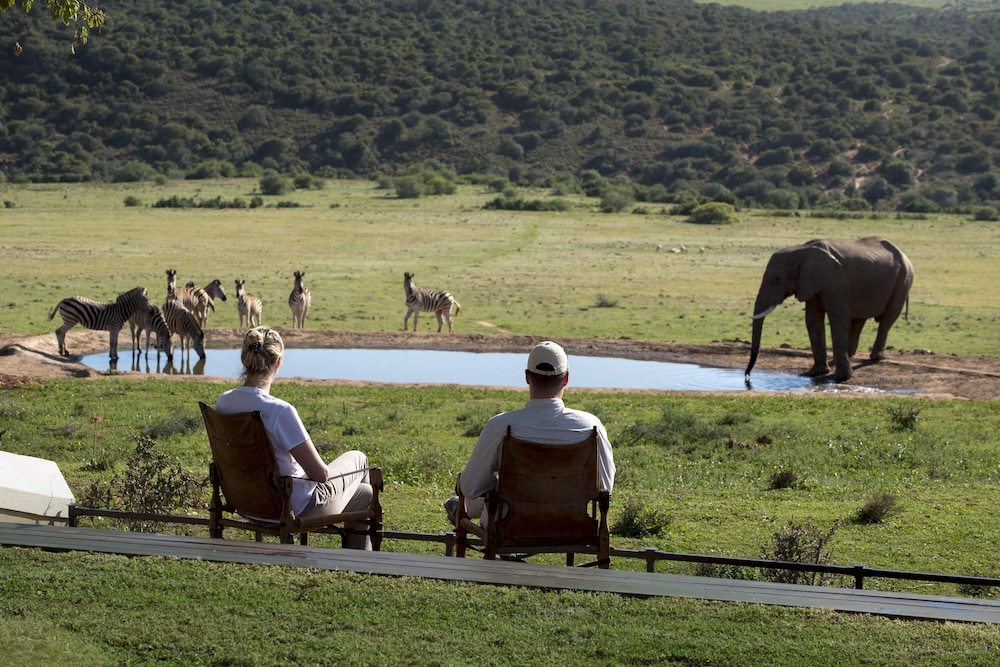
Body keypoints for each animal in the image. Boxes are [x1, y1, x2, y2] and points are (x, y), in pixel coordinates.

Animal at [745, 236, 914, 382]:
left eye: (778, 279)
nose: (747, 376)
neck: (802, 249)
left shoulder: (836, 283)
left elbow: (838, 319)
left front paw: (842, 378)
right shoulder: (811, 284)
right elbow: (813, 320)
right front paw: (816, 373)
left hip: (903, 280)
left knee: (887, 319)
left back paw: (875, 358)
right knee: (859, 320)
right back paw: (847, 355)